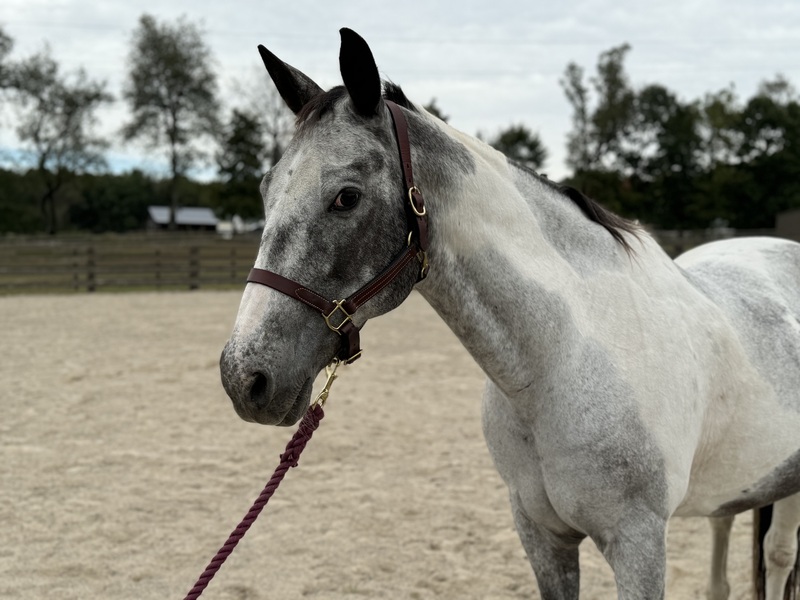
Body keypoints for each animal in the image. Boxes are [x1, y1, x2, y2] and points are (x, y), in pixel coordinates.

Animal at [219, 28, 800, 600]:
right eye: (266, 190)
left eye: (346, 197)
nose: (243, 377)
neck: (561, 362)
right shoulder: (541, 535)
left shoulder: (639, 543)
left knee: (777, 556)